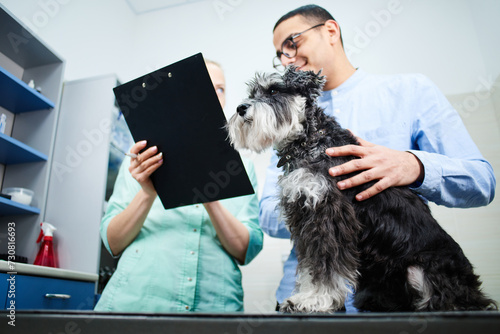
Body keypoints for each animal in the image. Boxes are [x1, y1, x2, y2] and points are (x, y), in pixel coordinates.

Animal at [226, 66, 496, 314]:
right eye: (252, 93)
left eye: (273, 90)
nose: (240, 108)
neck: (310, 141)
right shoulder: (305, 215)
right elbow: (309, 264)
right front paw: (305, 296)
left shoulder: (329, 214)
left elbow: (325, 263)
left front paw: (315, 300)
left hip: (421, 272)